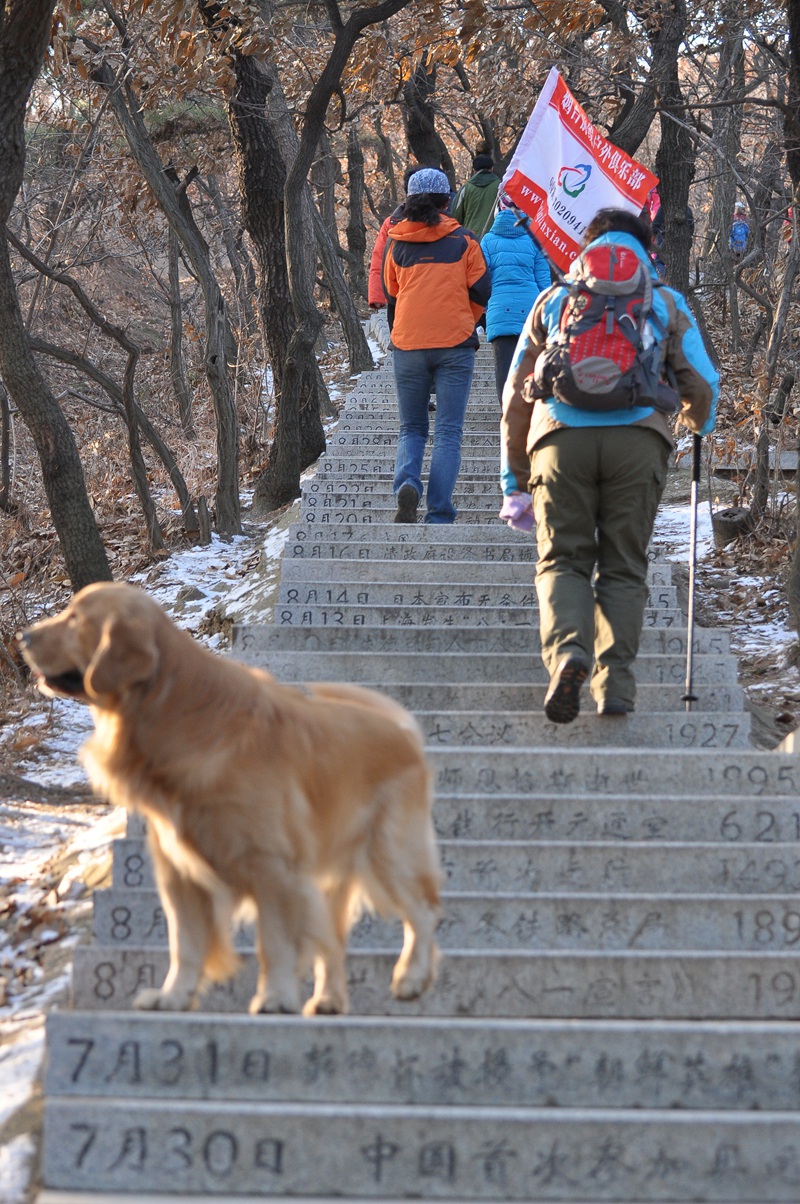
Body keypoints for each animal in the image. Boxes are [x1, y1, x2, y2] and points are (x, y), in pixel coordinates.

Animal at [18, 582, 440, 1016]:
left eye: (75, 618)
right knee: (335, 940)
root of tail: (404, 733)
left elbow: (274, 942)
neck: (173, 713)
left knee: (424, 912)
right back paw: (328, 999)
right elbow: (185, 944)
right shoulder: (179, 870)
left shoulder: (271, 865)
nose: (22, 637)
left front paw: (274, 997)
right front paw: (173, 995)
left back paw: (411, 977)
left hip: (389, 852)